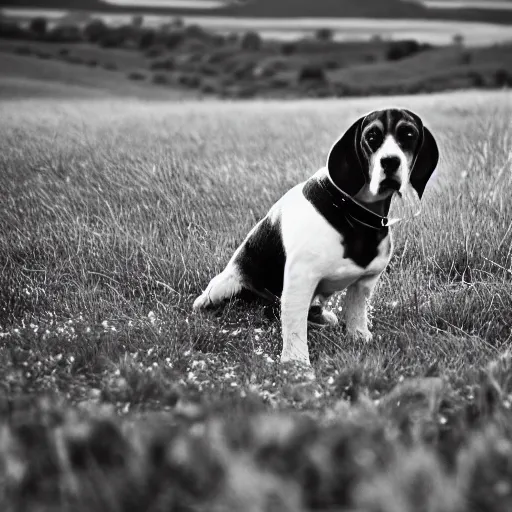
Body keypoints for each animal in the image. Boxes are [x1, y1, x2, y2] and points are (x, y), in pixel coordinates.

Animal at [193, 109, 440, 364]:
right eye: (372, 136)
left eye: (408, 134)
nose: (390, 161)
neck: (351, 210)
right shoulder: (300, 281)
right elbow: (294, 328)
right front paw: (296, 363)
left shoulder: (365, 282)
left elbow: (356, 313)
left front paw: (359, 336)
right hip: (223, 288)